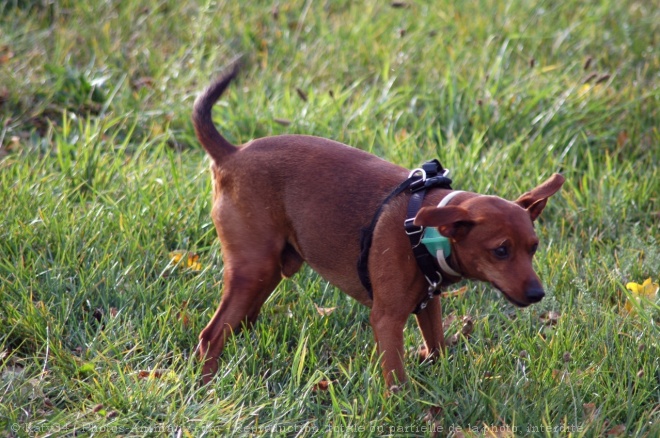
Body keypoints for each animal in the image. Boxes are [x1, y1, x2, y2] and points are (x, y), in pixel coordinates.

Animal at [191, 61, 564, 386]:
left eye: (533, 248)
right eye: (500, 251)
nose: (538, 293)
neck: (423, 230)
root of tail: (231, 153)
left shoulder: (428, 305)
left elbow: (438, 348)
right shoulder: (387, 319)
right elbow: (396, 379)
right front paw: (404, 407)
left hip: (267, 272)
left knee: (240, 324)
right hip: (255, 268)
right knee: (211, 334)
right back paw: (208, 386)